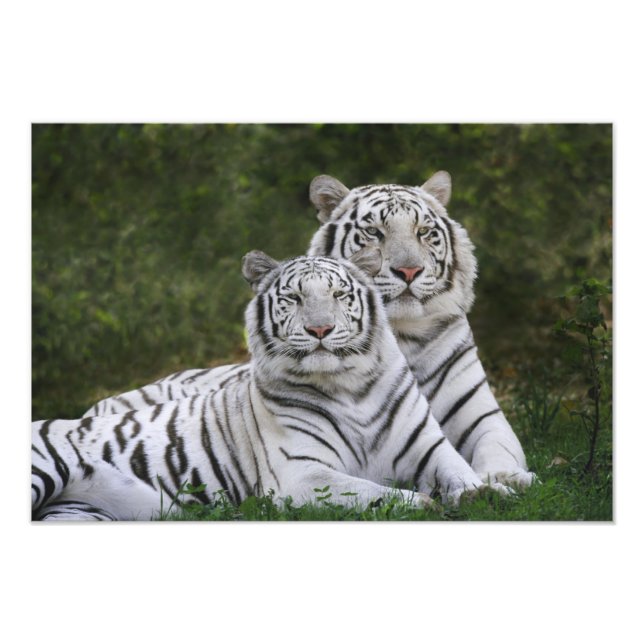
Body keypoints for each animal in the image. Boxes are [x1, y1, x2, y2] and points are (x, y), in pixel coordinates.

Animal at [33, 250, 508, 520]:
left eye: (339, 295)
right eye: (294, 298)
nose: (320, 329)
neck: (350, 386)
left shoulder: (429, 447)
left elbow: (461, 472)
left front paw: (489, 492)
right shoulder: (301, 474)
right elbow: (373, 491)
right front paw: (424, 504)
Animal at [85, 172, 535, 489]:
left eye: (424, 232)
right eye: (374, 232)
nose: (408, 271)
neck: (402, 335)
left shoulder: (482, 416)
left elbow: (498, 448)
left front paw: (508, 479)